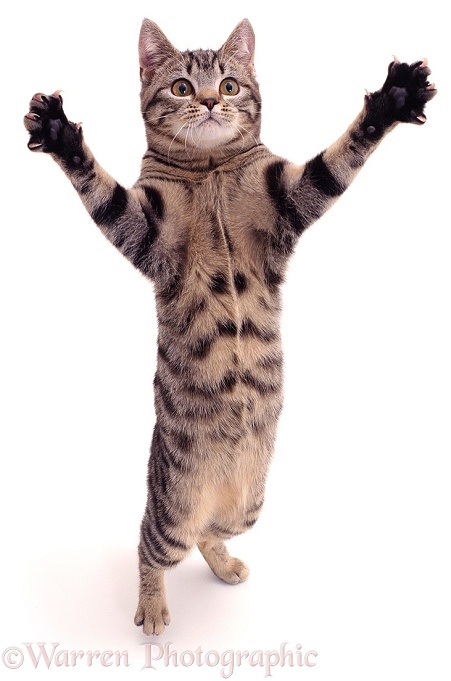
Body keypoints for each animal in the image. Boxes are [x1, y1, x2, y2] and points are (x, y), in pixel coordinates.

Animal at [23, 18, 436, 636]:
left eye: (230, 84)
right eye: (182, 89)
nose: (214, 101)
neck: (211, 167)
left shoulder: (289, 195)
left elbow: (339, 159)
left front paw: (393, 100)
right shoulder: (144, 229)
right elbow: (100, 190)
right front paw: (59, 136)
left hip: (248, 506)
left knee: (208, 535)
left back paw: (224, 565)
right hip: (173, 507)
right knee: (151, 546)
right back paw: (152, 607)